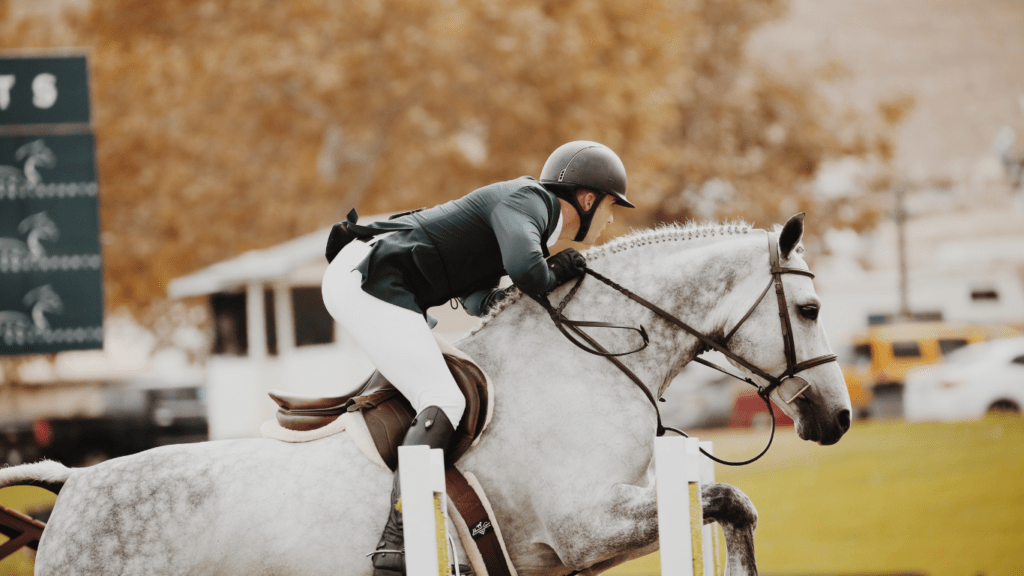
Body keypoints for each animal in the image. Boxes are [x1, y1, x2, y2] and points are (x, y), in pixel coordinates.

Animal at [0, 213, 847, 573]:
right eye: (809, 309)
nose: (837, 418)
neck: (586, 365)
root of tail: (71, 483)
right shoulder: (581, 526)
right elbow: (730, 502)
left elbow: (735, 507)